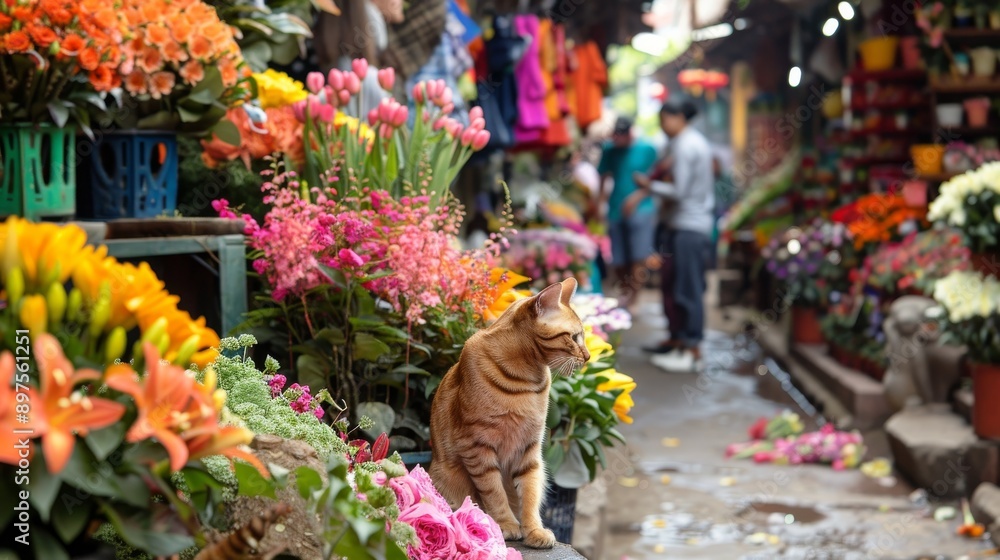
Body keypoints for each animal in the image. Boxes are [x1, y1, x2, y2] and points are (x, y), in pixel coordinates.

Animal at [428, 278, 584, 548]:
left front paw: (534, 531)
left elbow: (530, 497)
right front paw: (506, 525)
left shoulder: (530, 452)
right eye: (574, 337)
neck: (525, 382)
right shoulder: (477, 447)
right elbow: (494, 493)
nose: (587, 356)